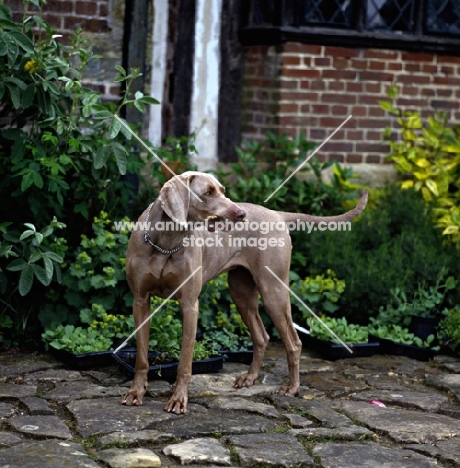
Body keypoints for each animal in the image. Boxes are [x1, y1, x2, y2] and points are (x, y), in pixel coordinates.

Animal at [121, 172, 366, 414]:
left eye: (222, 190)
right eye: (208, 192)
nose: (241, 214)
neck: (165, 242)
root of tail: (276, 214)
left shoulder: (189, 304)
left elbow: (185, 360)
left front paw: (178, 400)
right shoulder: (140, 301)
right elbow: (142, 356)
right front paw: (135, 393)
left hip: (273, 290)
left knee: (294, 343)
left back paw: (292, 388)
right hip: (241, 293)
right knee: (261, 336)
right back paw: (250, 378)